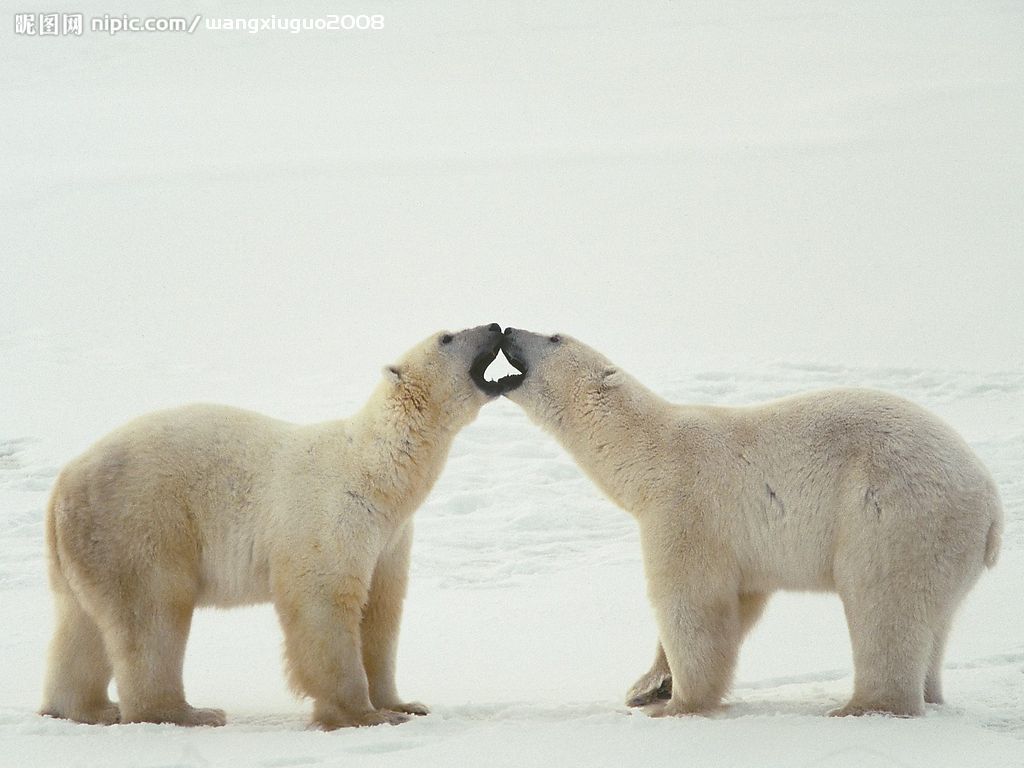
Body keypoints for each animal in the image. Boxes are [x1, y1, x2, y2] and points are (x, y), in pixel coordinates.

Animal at [40, 323, 507, 729]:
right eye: (447, 337)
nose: (495, 326)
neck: (376, 473)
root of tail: (63, 483)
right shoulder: (332, 516)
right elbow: (325, 603)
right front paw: (363, 714)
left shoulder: (390, 538)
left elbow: (381, 611)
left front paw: (405, 704)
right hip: (139, 522)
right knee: (152, 614)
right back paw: (186, 713)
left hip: (87, 546)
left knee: (80, 625)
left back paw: (85, 708)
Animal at [499, 327, 1003, 720]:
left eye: (553, 336)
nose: (506, 330)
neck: (648, 452)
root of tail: (991, 503)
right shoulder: (743, 546)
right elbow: (740, 602)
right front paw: (647, 685)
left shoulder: (687, 507)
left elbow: (693, 605)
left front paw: (677, 704)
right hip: (943, 545)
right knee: (935, 621)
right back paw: (929, 694)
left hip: (894, 516)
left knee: (884, 605)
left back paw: (862, 706)